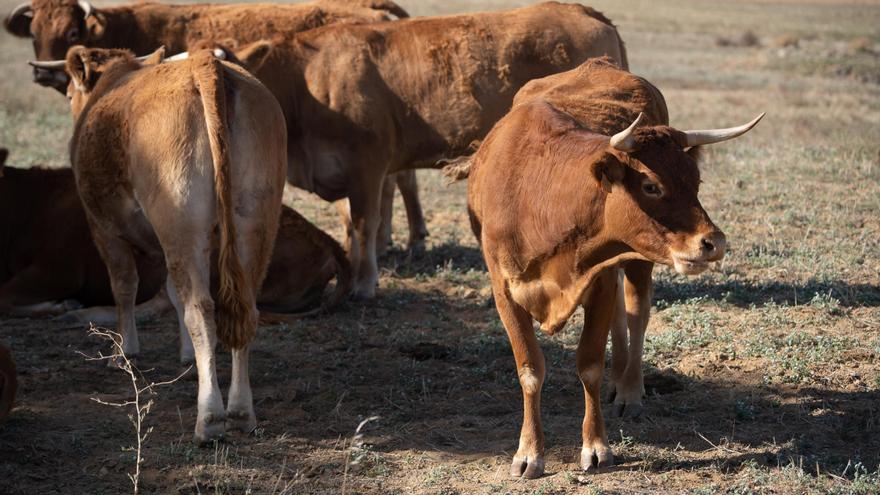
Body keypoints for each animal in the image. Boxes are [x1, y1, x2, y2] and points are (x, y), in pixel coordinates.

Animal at [0, 145, 350, 330]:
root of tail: (324, 239)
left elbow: (6, 298)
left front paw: (60, 306)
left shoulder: (57, 270)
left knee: (161, 304)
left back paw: (81, 314)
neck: (31, 200)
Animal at [55, 46, 288, 442]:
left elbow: (124, 287)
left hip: (179, 219)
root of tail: (205, 64)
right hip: (255, 218)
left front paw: (125, 352)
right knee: (244, 310)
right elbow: (170, 292)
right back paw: (241, 411)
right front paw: (187, 357)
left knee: (201, 310)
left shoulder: (103, 229)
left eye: (70, 94)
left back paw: (209, 417)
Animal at [211, 0, 624, 298]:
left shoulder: (368, 166)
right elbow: (349, 226)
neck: (308, 80)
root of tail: (580, 10)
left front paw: (364, 284)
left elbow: (364, 223)